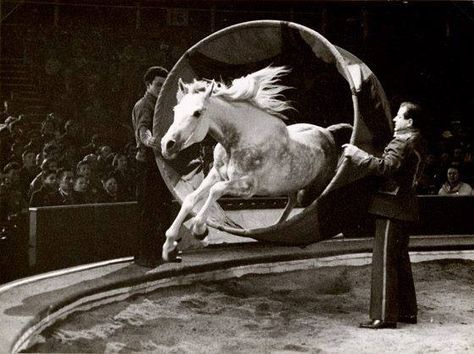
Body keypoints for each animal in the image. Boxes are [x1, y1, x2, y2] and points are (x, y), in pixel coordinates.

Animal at [161, 66, 350, 260]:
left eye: (197, 112)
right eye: (175, 109)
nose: (167, 145)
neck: (241, 140)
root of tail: (328, 132)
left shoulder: (247, 187)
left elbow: (216, 190)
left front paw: (200, 230)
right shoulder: (216, 174)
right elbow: (190, 198)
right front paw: (169, 248)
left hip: (312, 190)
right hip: (292, 186)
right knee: (291, 203)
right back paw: (277, 228)